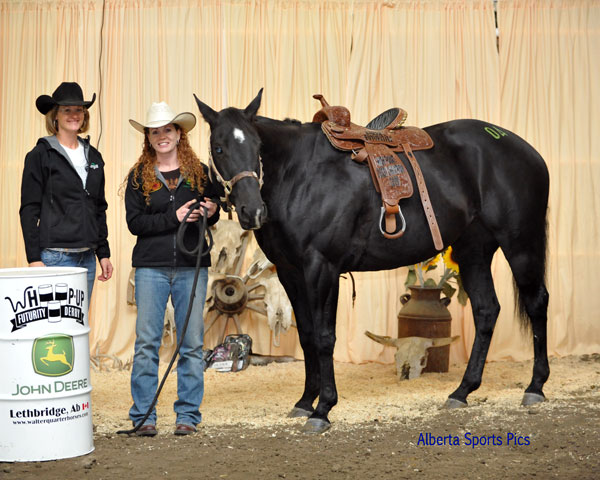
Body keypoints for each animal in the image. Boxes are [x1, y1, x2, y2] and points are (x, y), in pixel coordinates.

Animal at [195, 90, 552, 436]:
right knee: (487, 310)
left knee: (536, 303)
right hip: (473, 251)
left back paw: (535, 387)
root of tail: (527, 151)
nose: (252, 210)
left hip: (520, 244)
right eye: (219, 148)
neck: (300, 175)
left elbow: (324, 336)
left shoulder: (322, 268)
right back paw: (462, 391)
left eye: (257, 146)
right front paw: (305, 402)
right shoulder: (290, 272)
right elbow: (308, 335)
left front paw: (324, 409)